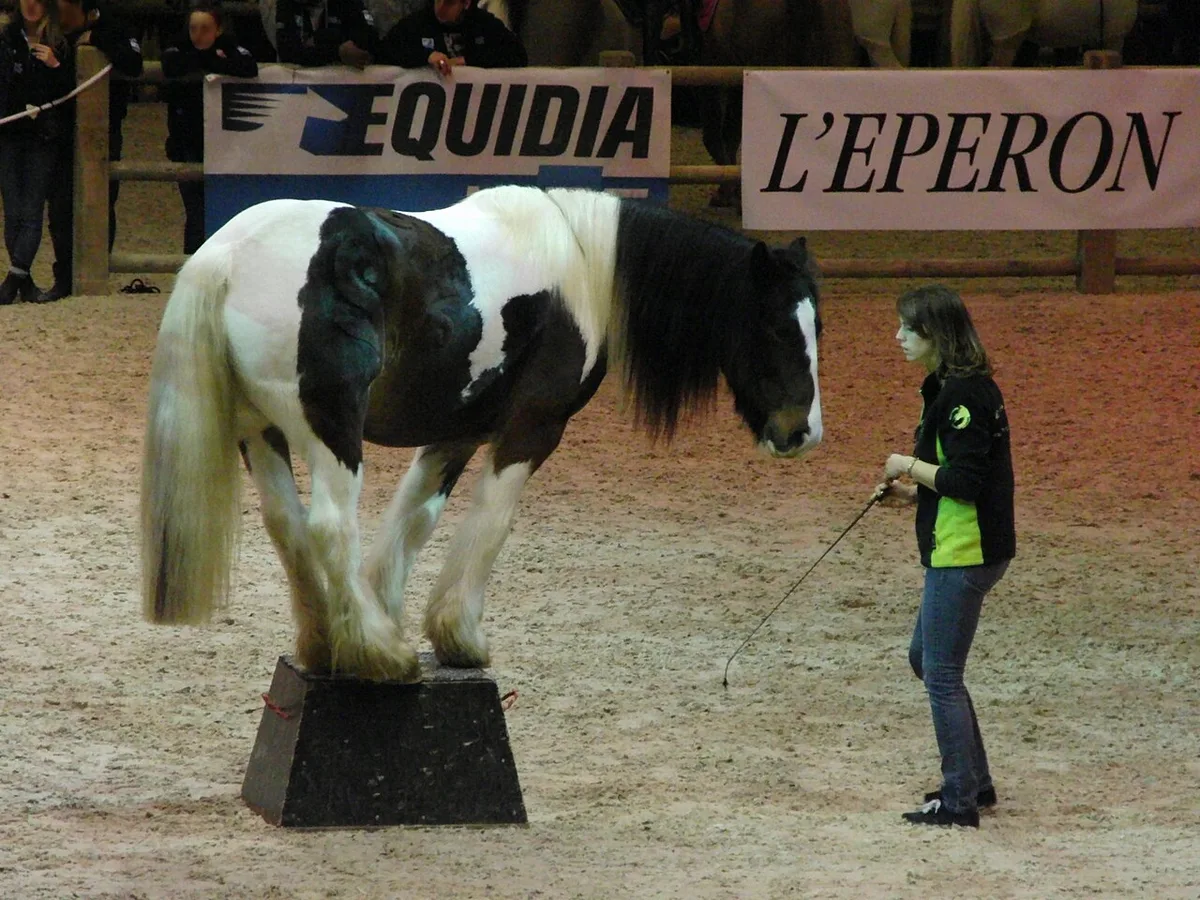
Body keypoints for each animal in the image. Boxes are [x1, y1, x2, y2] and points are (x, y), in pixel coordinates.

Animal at [140, 185, 824, 683]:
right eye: (776, 327)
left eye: (816, 326)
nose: (803, 432)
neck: (582, 261)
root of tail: (225, 255)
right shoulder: (532, 427)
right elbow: (492, 520)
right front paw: (457, 635)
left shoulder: (456, 432)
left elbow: (415, 519)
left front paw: (390, 610)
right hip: (331, 432)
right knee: (329, 527)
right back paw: (380, 656)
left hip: (261, 434)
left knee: (286, 526)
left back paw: (327, 645)